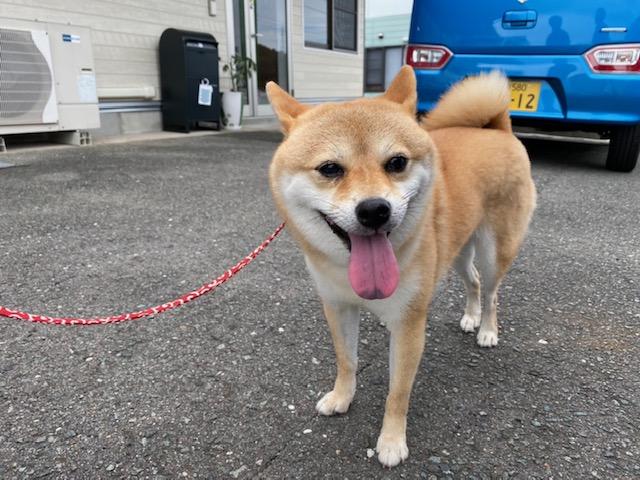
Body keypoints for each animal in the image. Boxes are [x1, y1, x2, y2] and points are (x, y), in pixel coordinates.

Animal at [266, 66, 536, 467]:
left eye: (396, 163)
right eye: (329, 169)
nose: (374, 209)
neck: (348, 268)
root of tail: (497, 129)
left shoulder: (409, 324)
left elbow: (398, 392)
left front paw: (392, 442)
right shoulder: (337, 306)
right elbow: (346, 360)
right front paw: (341, 398)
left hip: (494, 251)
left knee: (491, 292)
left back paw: (487, 329)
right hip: (456, 252)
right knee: (472, 282)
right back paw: (470, 317)